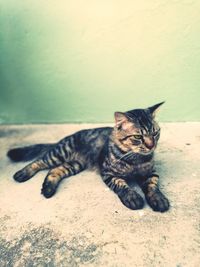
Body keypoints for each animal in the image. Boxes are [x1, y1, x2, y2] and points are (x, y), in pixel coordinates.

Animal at [7, 102, 170, 214]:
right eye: (138, 137)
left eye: (155, 133)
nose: (151, 146)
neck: (135, 159)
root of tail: (66, 137)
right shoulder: (108, 173)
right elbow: (122, 185)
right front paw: (132, 197)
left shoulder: (150, 172)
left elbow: (152, 185)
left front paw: (158, 199)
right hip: (59, 153)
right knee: (39, 161)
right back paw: (22, 174)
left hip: (74, 165)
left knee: (54, 171)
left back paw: (48, 189)